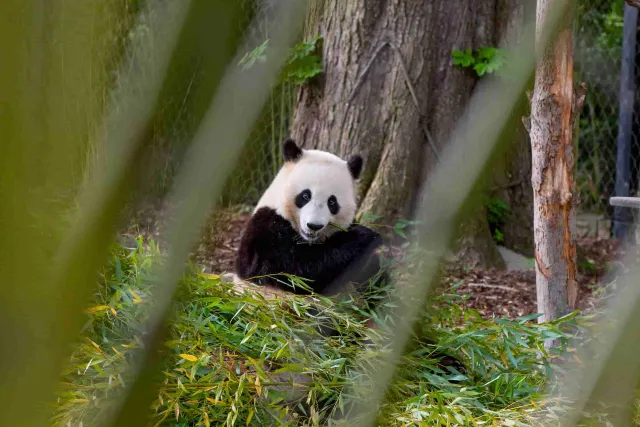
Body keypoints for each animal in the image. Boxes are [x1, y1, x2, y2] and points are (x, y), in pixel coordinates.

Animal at [234, 140, 384, 308]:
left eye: (332, 202)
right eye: (305, 195)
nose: (314, 226)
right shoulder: (265, 230)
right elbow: (296, 271)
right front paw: (363, 235)